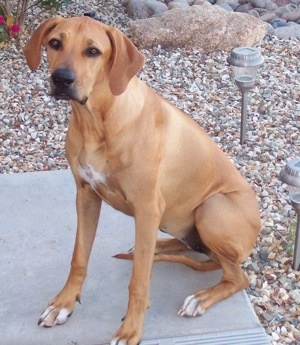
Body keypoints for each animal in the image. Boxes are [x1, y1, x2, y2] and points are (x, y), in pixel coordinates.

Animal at [23, 16, 262, 344]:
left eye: (93, 51)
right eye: (55, 43)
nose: (62, 79)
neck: (97, 121)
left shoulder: (148, 206)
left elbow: (138, 281)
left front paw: (130, 330)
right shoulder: (86, 195)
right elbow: (78, 258)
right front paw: (63, 304)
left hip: (211, 208)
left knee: (237, 276)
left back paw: (201, 297)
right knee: (192, 248)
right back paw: (156, 247)